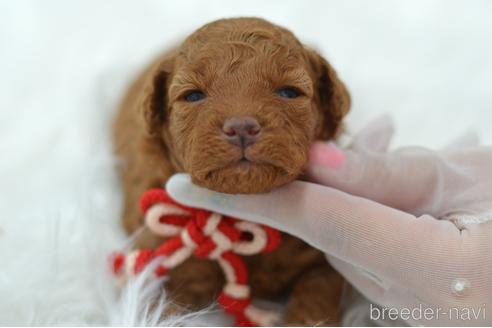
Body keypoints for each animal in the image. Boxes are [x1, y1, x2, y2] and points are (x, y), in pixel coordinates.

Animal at [113, 16, 350, 324]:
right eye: (193, 96)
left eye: (289, 92)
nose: (241, 127)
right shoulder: (159, 259)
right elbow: (156, 307)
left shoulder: (321, 258)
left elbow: (316, 297)